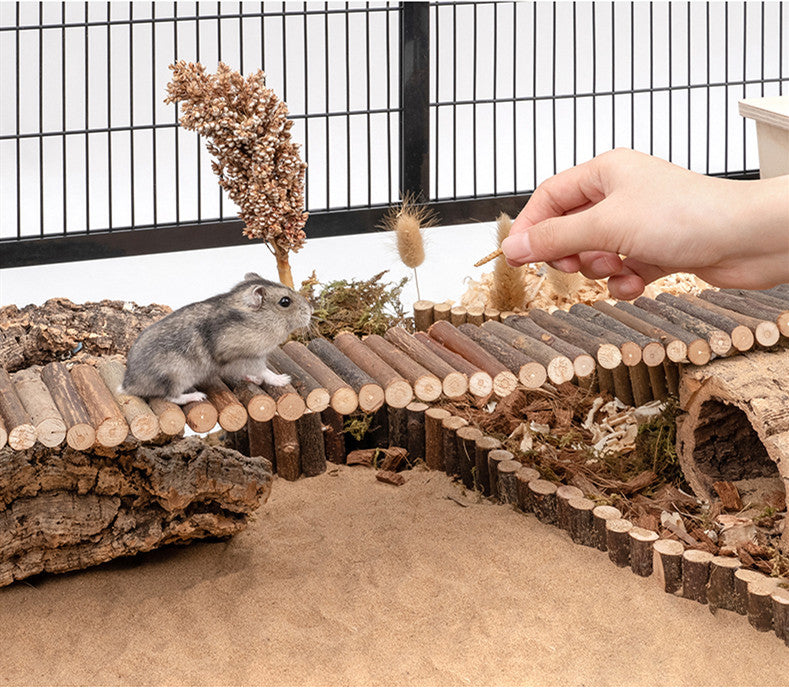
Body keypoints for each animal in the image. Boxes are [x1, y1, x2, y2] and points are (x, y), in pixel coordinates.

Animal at [120, 272, 310, 406]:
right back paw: (197, 396)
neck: (254, 319)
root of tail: (128, 384)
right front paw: (284, 379)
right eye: (285, 302)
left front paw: (255, 379)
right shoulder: (243, 356)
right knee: (171, 397)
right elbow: (264, 371)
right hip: (176, 376)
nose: (311, 310)